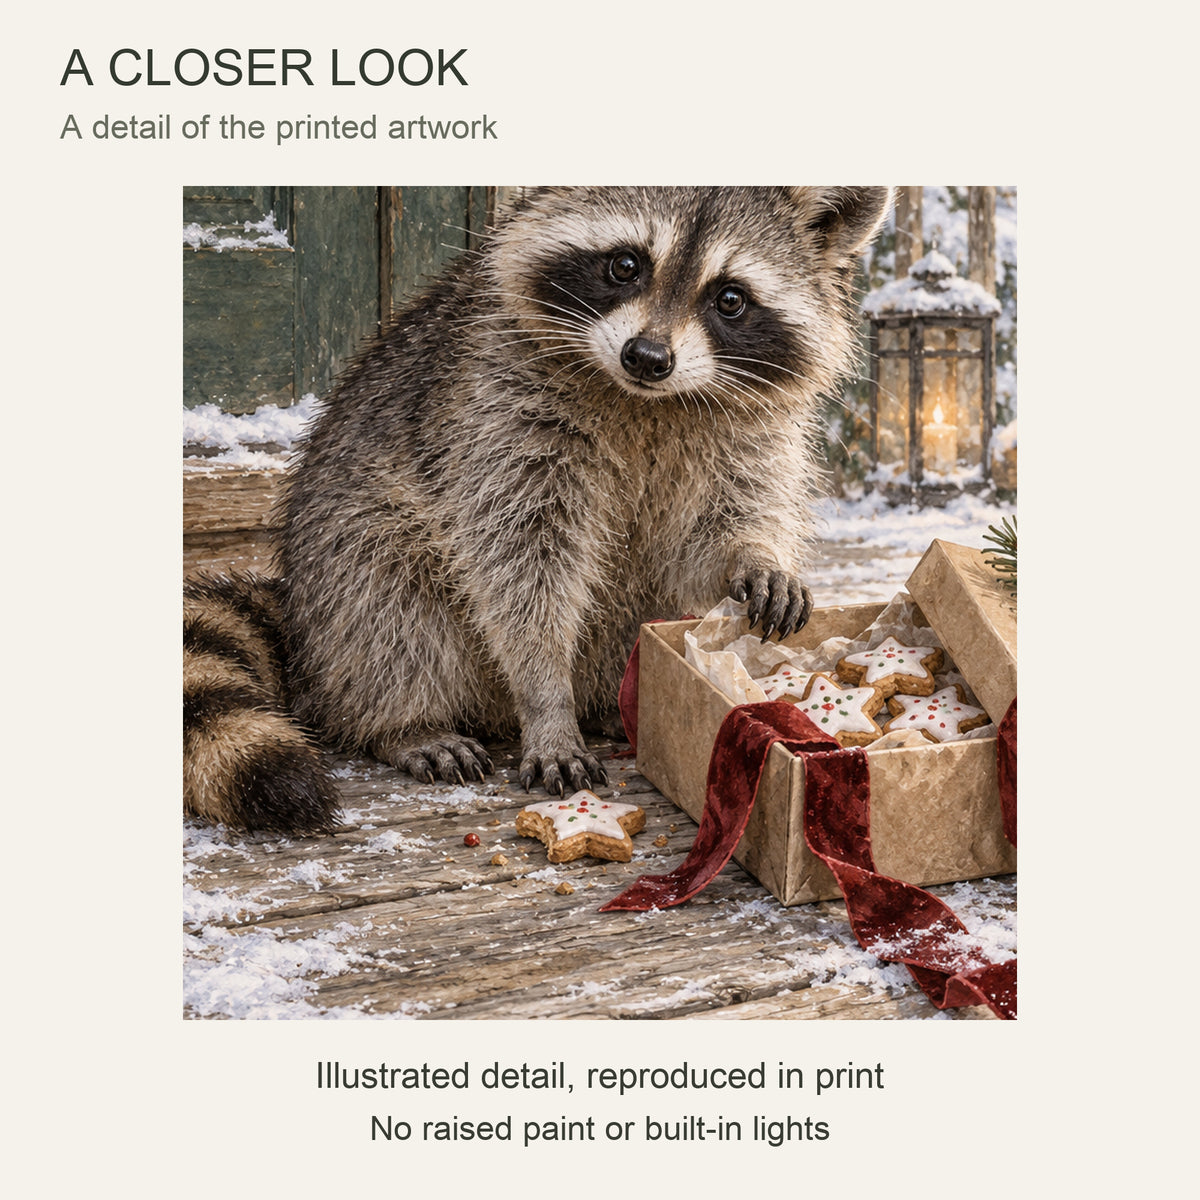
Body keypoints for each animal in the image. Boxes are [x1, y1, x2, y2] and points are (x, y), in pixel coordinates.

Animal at [184, 186, 891, 834]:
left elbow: (720, 523)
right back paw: (405, 720)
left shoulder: (747, 430)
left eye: (731, 299)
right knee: (384, 596)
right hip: (339, 544)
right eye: (626, 265)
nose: (648, 358)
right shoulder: (500, 409)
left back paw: (615, 702)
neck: (647, 401)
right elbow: (519, 563)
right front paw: (547, 697)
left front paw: (755, 555)